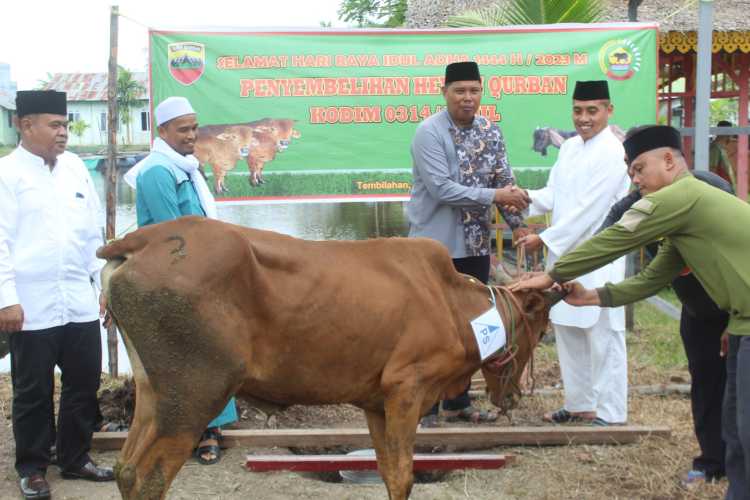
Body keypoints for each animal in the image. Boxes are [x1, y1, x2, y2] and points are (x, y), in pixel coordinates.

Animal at [97, 219, 560, 500]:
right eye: (540, 329)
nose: (512, 397)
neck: (451, 302)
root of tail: (140, 241)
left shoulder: (376, 402)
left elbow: (390, 471)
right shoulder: (407, 389)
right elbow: (405, 475)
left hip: (154, 393)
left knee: (125, 469)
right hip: (196, 394)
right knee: (149, 477)